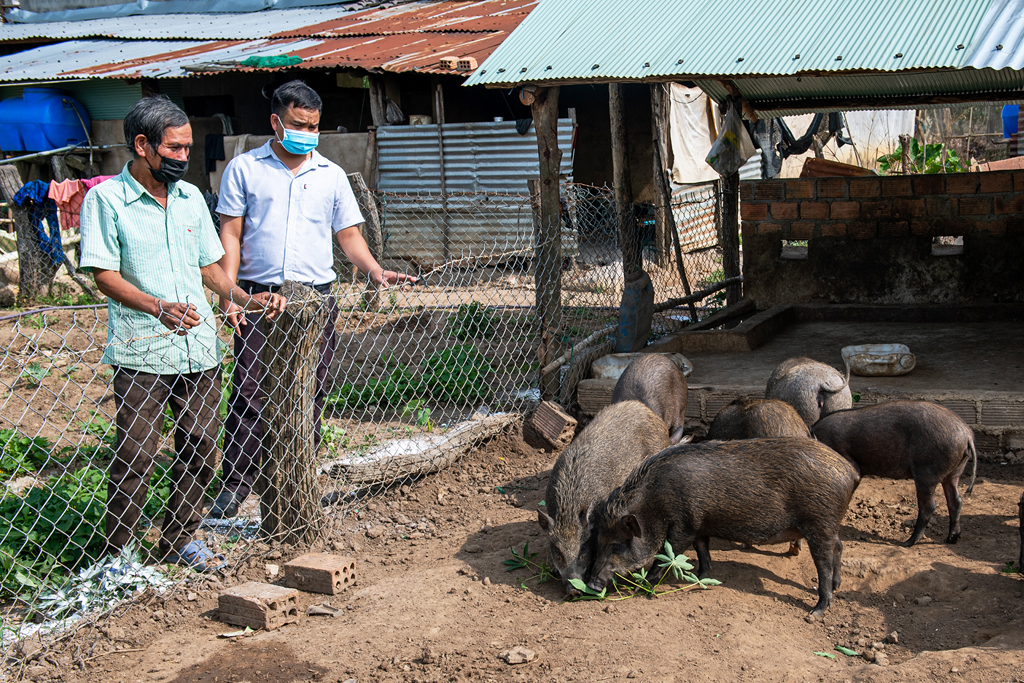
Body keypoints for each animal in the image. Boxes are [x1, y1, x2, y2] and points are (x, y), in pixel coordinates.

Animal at [589, 440, 860, 618]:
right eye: (598, 541)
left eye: (617, 545)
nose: (591, 584)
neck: (654, 504)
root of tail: (851, 472)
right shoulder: (699, 525)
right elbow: (702, 551)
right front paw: (701, 577)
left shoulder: (684, 526)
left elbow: (665, 556)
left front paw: (641, 589)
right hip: (827, 527)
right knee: (839, 546)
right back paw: (837, 586)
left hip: (819, 523)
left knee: (824, 562)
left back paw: (816, 611)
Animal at [806, 403, 974, 548]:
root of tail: (967, 435)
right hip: (954, 472)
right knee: (956, 501)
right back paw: (951, 539)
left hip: (927, 472)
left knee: (929, 506)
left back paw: (907, 543)